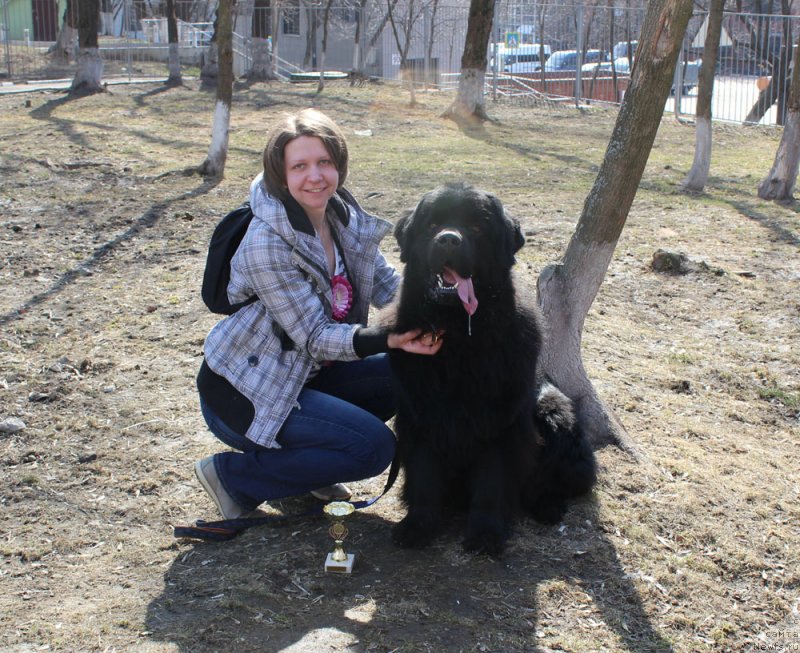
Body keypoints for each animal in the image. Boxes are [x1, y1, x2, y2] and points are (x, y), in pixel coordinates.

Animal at [388, 183, 600, 556]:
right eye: (432, 225)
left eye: (476, 227)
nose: (448, 240)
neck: (458, 336)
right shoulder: (421, 416)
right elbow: (425, 476)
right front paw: (418, 526)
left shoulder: (501, 422)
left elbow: (492, 480)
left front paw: (485, 534)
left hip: (554, 410)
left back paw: (547, 506)